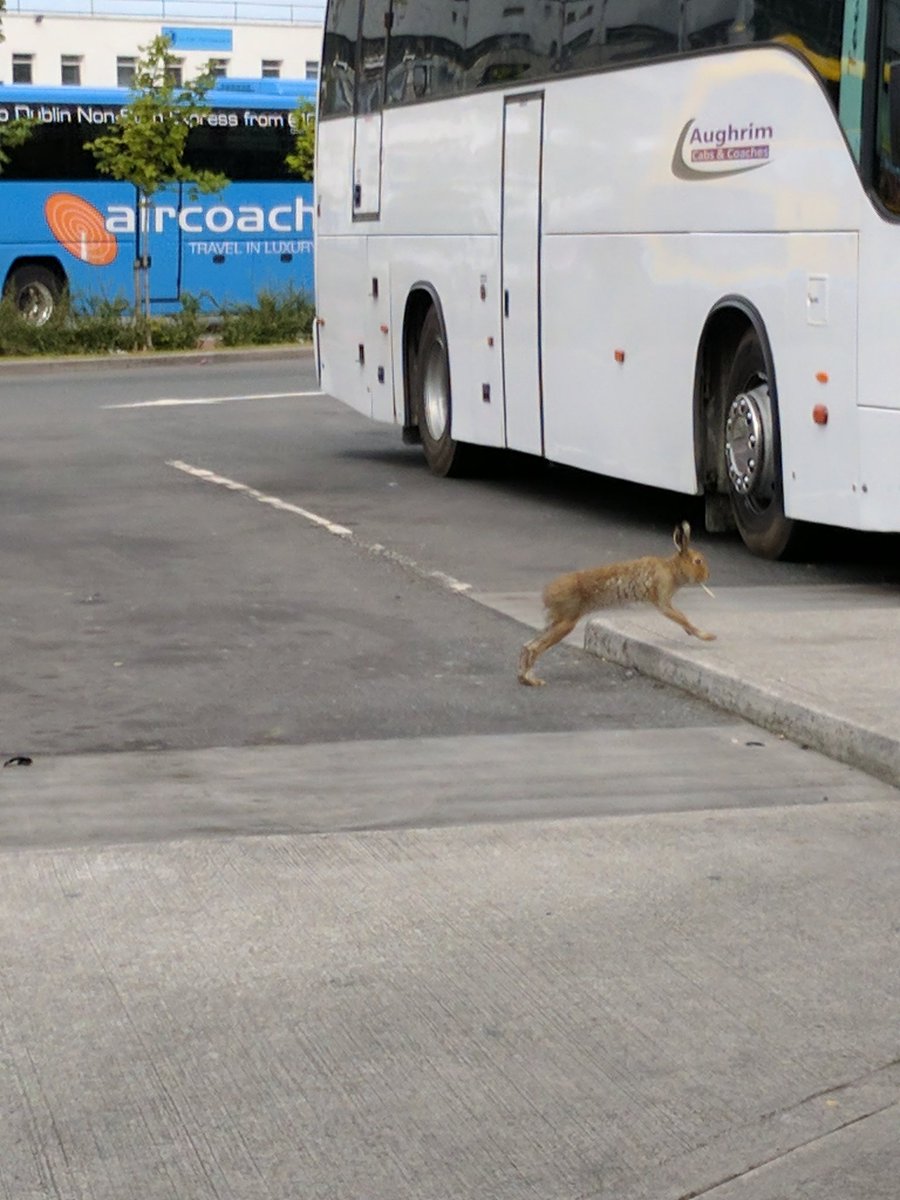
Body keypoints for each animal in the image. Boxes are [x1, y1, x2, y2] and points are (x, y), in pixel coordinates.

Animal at [517, 521, 715, 687]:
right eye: (698, 561)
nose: (707, 576)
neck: (672, 569)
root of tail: (547, 595)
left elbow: (681, 618)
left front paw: (693, 633)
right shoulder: (663, 600)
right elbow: (681, 617)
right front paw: (707, 636)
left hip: (555, 622)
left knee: (527, 645)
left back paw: (524, 678)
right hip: (566, 622)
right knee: (534, 648)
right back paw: (533, 681)